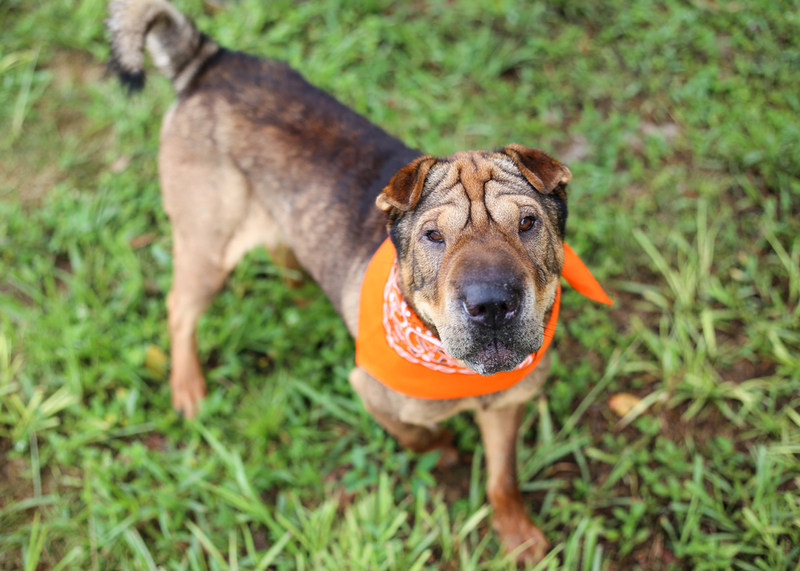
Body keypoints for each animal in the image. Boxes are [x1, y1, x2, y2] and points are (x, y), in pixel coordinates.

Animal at [108, 0, 608, 564]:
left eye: (527, 223)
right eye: (434, 236)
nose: (492, 304)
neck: (451, 367)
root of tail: (210, 60)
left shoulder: (507, 406)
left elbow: (503, 480)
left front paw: (518, 536)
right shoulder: (371, 391)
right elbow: (419, 438)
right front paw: (445, 452)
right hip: (206, 245)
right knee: (179, 309)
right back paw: (189, 387)